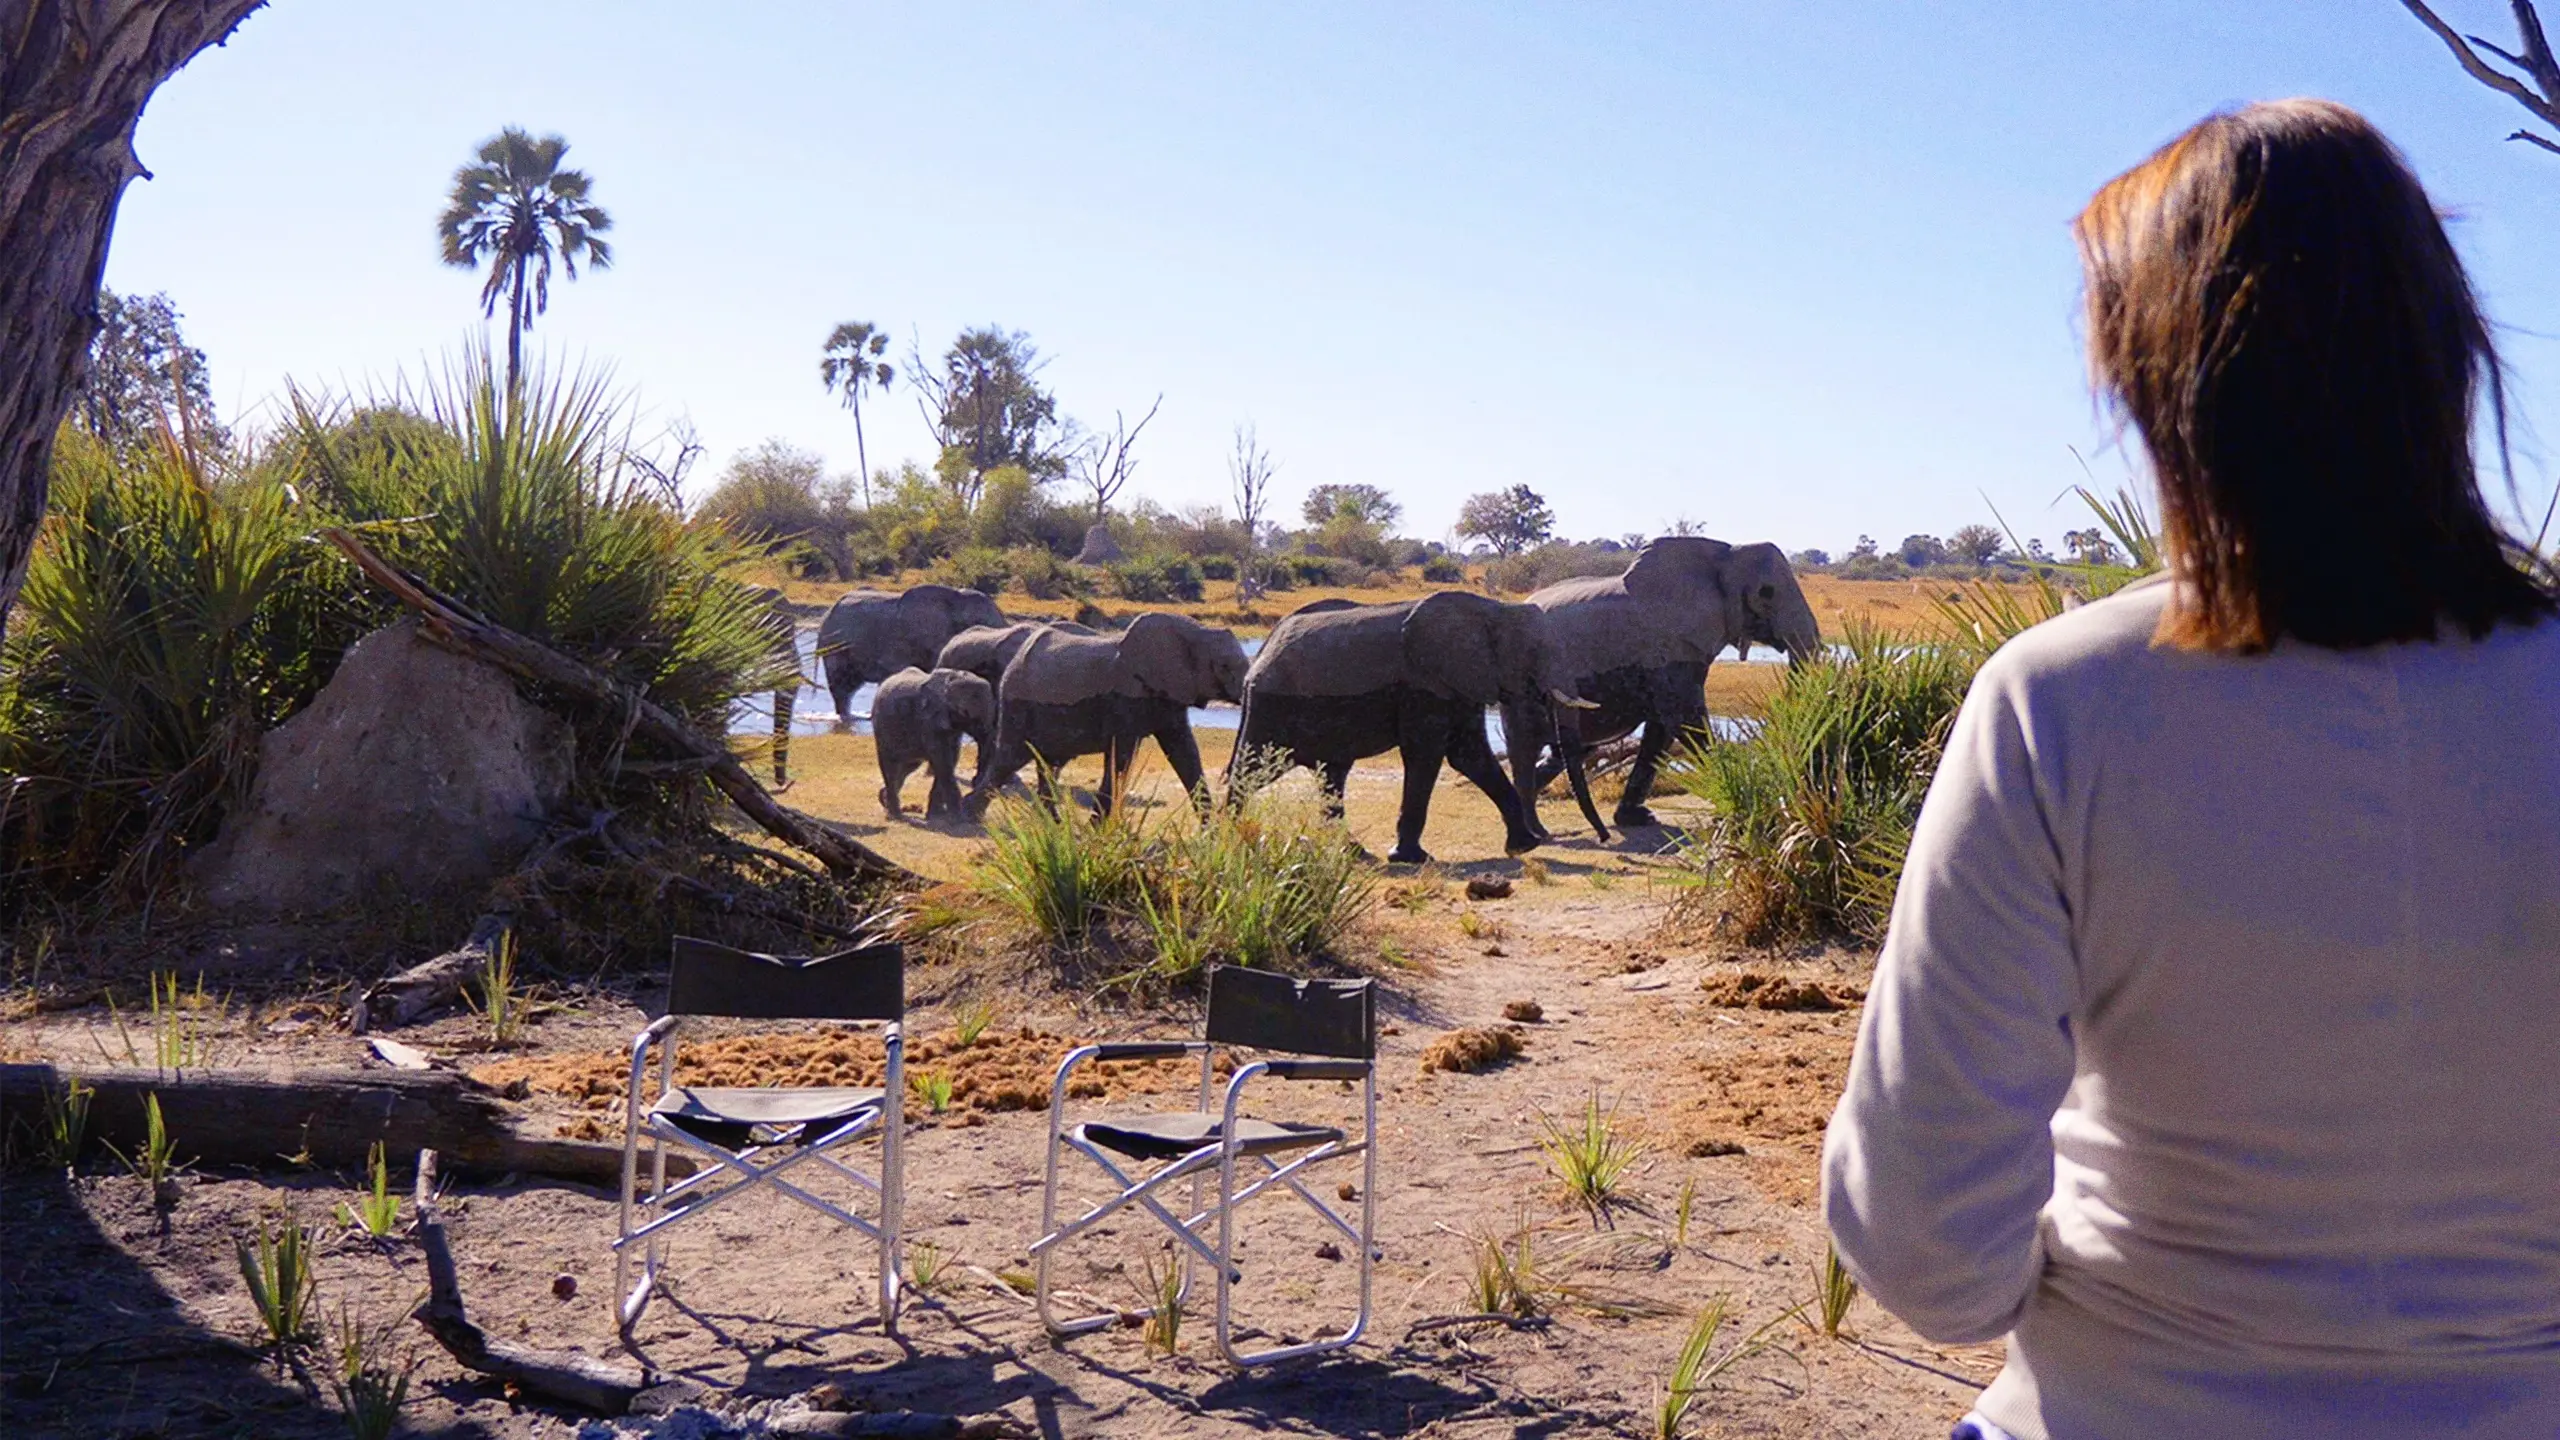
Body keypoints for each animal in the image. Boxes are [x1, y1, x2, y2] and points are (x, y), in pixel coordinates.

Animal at [870, 666, 988, 819]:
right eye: (965, 712)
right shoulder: (927, 721)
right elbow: (942, 760)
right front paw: (957, 818)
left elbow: (951, 758)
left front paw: (937, 815)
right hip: (882, 730)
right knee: (890, 765)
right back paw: (894, 815)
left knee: (908, 766)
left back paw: (884, 800)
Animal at [967, 607, 1249, 819]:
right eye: (1225, 666)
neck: (1194, 631)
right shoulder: (1127, 697)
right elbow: (1120, 758)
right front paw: (1097, 833)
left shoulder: (1168, 695)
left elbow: (1185, 752)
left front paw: (1210, 836)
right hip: (1017, 703)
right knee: (1009, 758)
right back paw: (968, 818)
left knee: (1045, 763)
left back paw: (1052, 824)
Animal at [1228, 586, 1587, 855]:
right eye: (1535, 652)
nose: (1599, 837)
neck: (1494, 609)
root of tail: (1259, 655)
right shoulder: (1424, 684)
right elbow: (1426, 756)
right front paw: (1410, 857)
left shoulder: (1458, 682)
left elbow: (1470, 756)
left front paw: (1525, 847)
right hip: (1272, 707)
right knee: (1252, 769)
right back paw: (1228, 837)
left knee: (1331, 774)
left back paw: (1352, 852)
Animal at [1495, 532, 1822, 835]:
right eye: (1766, 593)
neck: (1724, 555)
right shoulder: (1667, 647)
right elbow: (1685, 722)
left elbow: (1661, 732)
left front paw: (1638, 819)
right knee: (1528, 745)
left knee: (1568, 751)